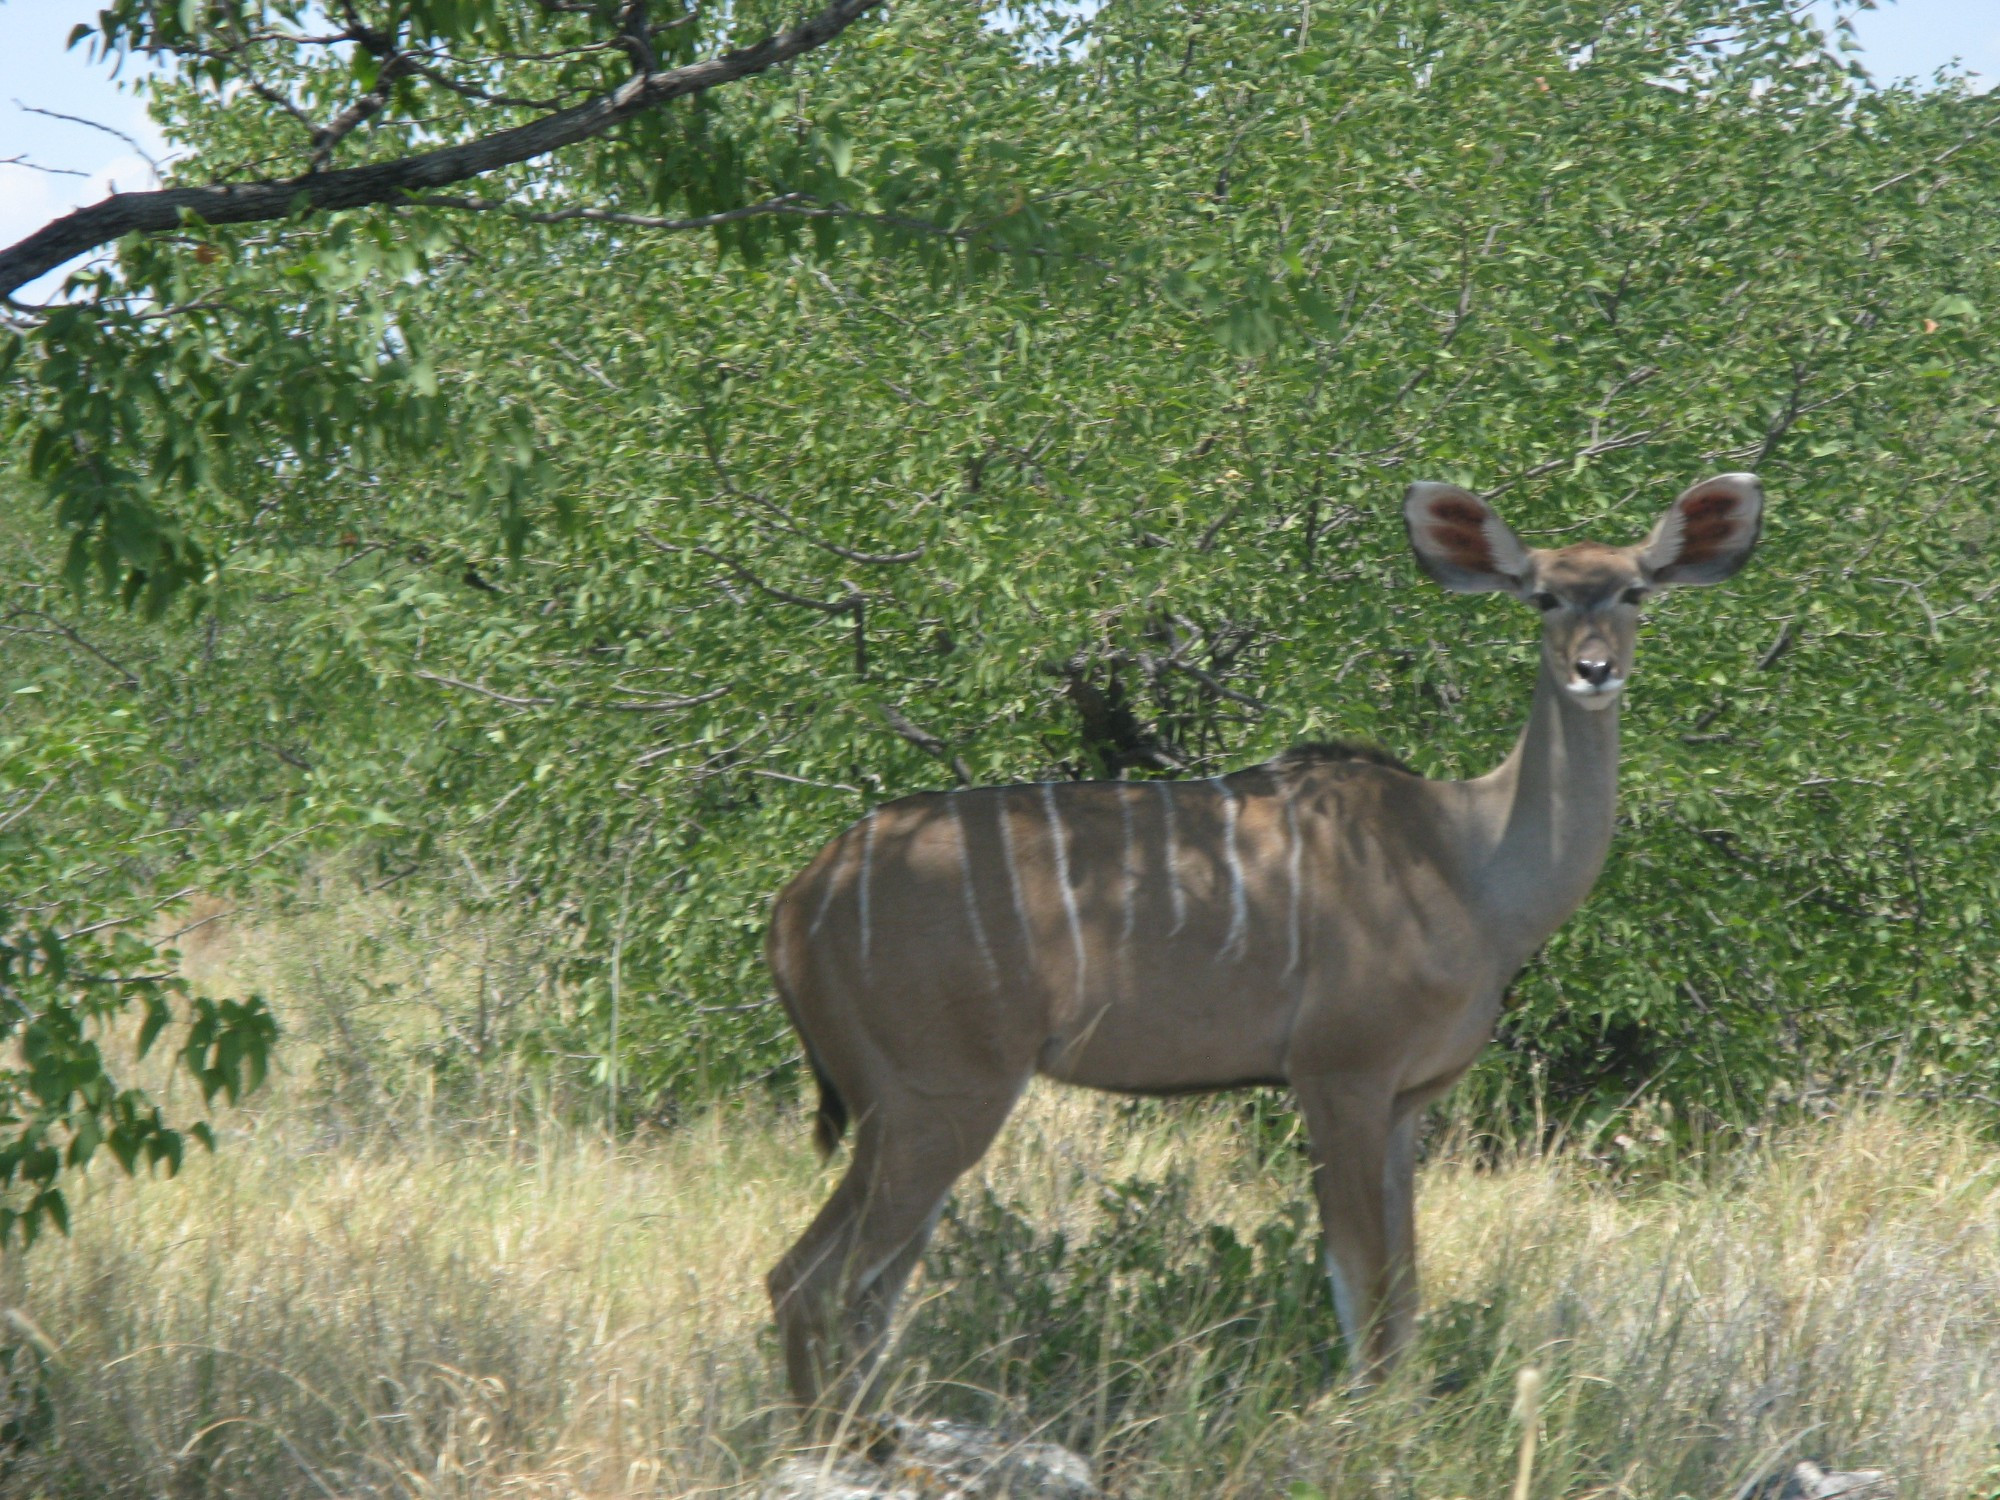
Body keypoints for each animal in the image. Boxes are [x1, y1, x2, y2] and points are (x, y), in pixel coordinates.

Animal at [764, 476, 1768, 1416]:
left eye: (1634, 590)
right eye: (1544, 596)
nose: (1595, 669)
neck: (1468, 860)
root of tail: (795, 903)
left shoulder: (1406, 1102)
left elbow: (1405, 1293)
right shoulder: (1339, 1075)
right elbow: (1363, 1288)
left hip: (911, 1109)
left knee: (864, 1293)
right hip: (936, 1097)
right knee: (812, 1281)